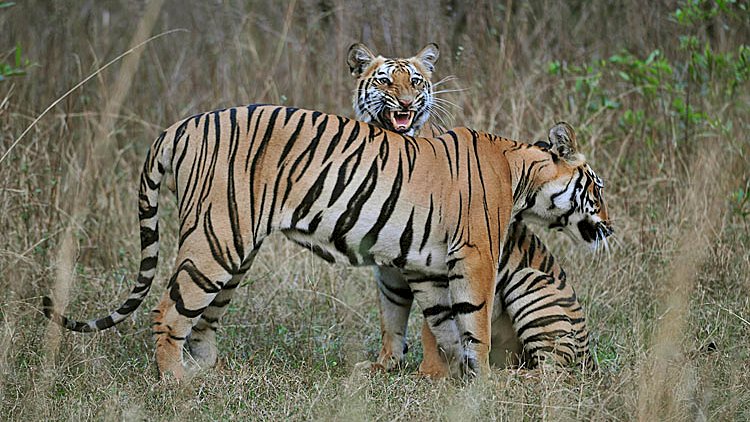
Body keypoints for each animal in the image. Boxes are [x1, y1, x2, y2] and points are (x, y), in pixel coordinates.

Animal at [44, 104, 612, 380]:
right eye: (598, 188)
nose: (609, 225)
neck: (521, 175)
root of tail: (180, 125)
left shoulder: (428, 264)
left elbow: (436, 323)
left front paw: (446, 379)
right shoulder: (474, 257)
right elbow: (471, 324)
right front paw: (479, 382)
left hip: (232, 250)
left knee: (202, 318)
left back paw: (207, 374)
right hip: (217, 240)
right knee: (169, 310)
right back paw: (175, 384)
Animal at [350, 42, 604, 372]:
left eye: (415, 82)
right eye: (385, 80)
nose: (406, 102)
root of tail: (588, 349)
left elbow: (432, 325)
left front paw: (431, 373)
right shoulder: (389, 273)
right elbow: (391, 318)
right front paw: (384, 365)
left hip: (531, 286)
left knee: (554, 366)